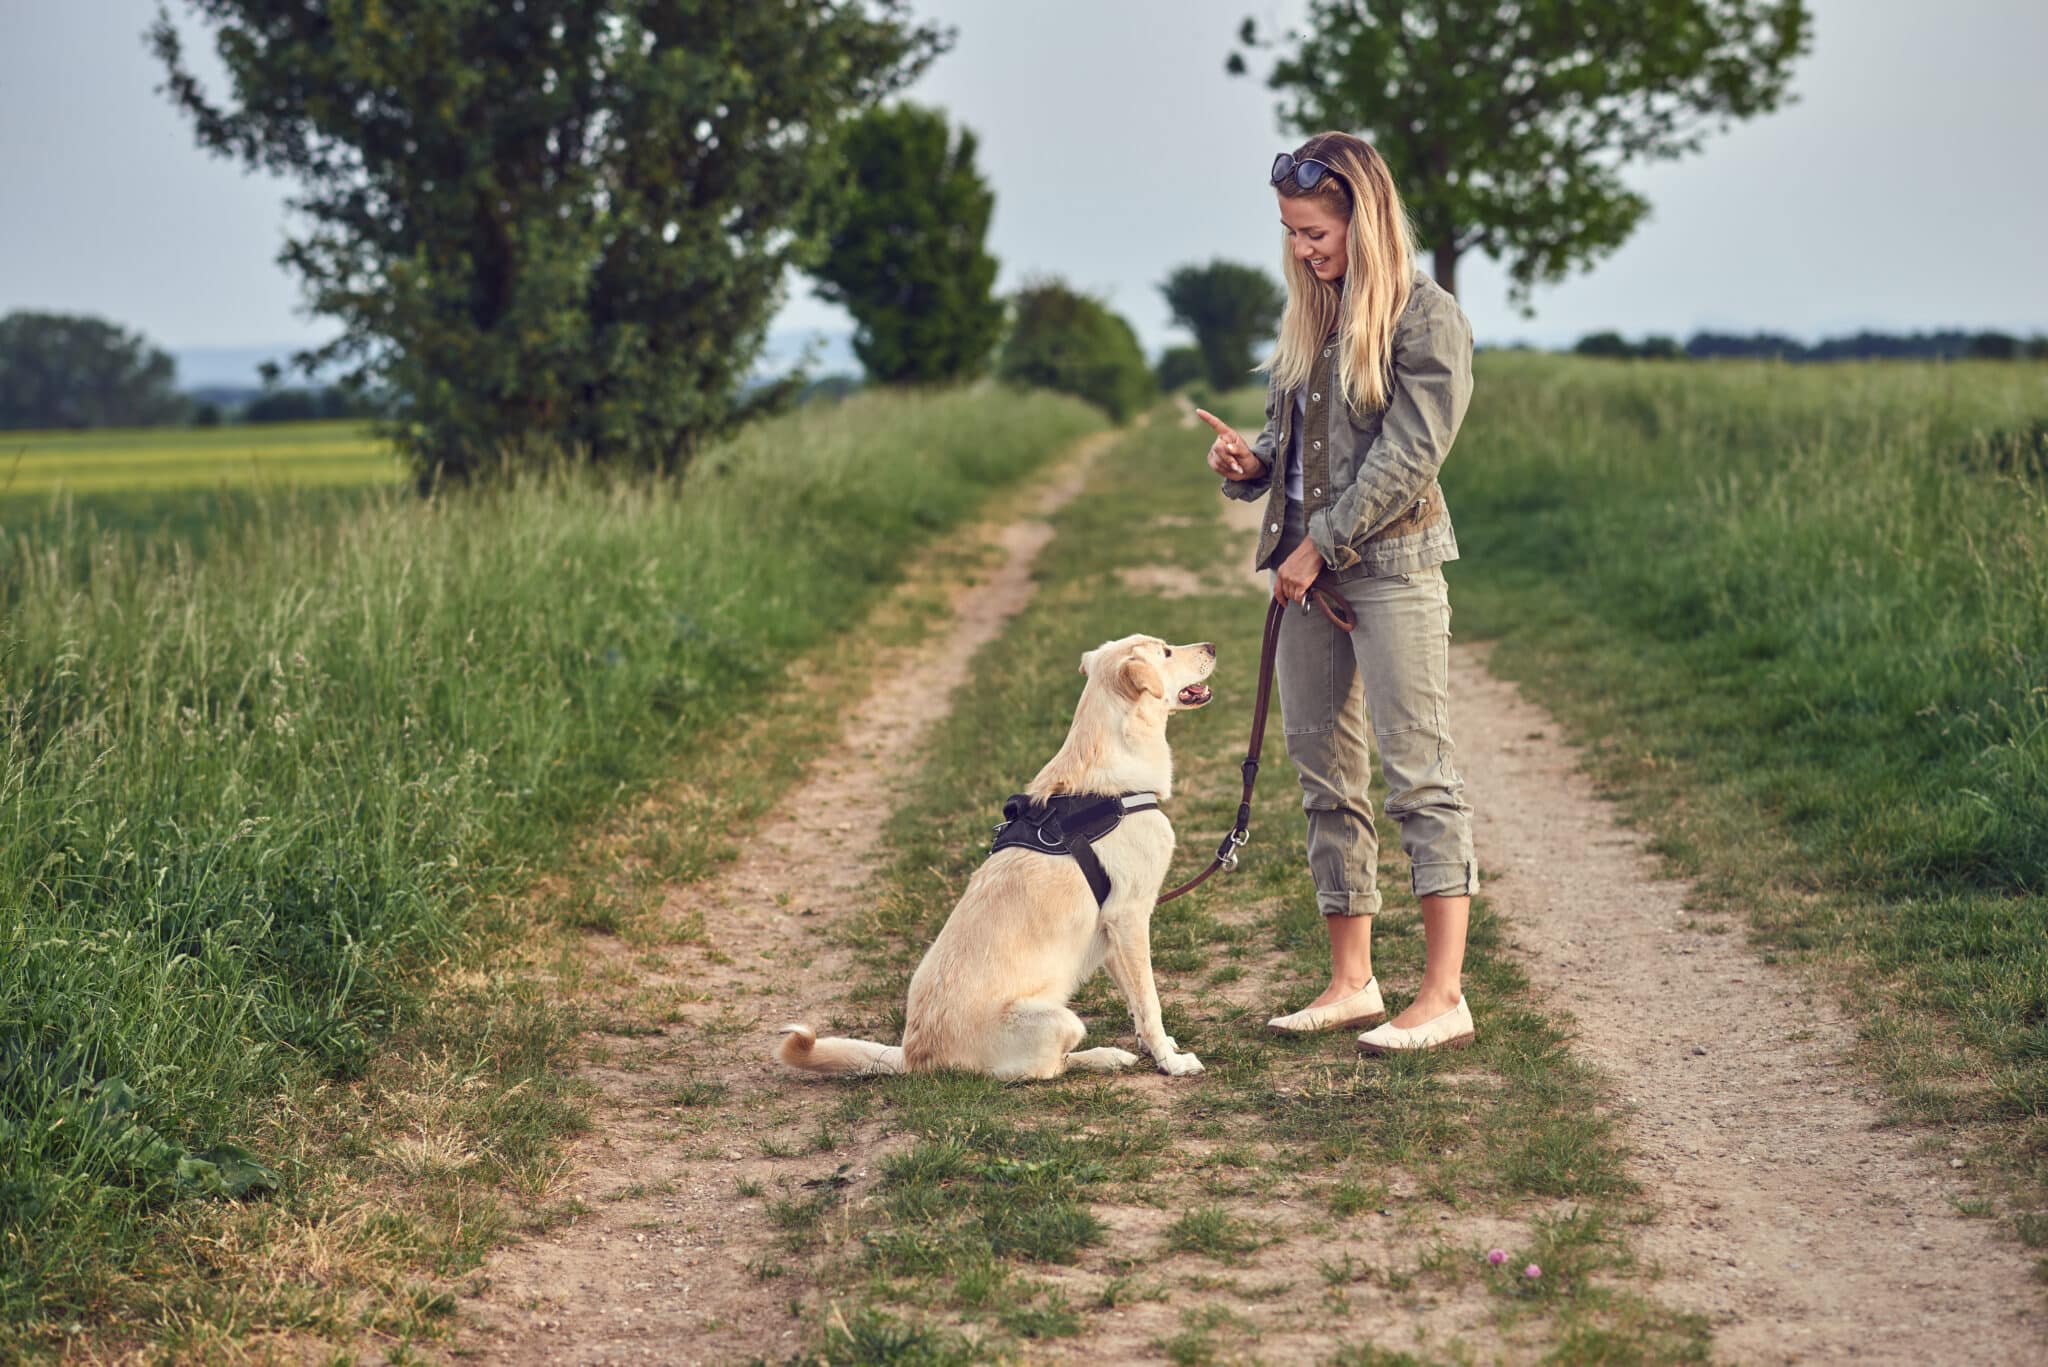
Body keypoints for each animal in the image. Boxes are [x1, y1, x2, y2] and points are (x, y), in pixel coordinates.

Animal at [770, 635, 1212, 1082]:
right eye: (1167, 652)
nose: (1211, 646)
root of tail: (914, 1057)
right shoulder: (1129, 918)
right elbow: (1150, 1002)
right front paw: (1170, 1062)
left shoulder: (1112, 930)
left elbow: (1135, 1002)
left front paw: (1155, 1046)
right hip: (1061, 1021)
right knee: (1050, 1068)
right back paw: (1106, 1057)